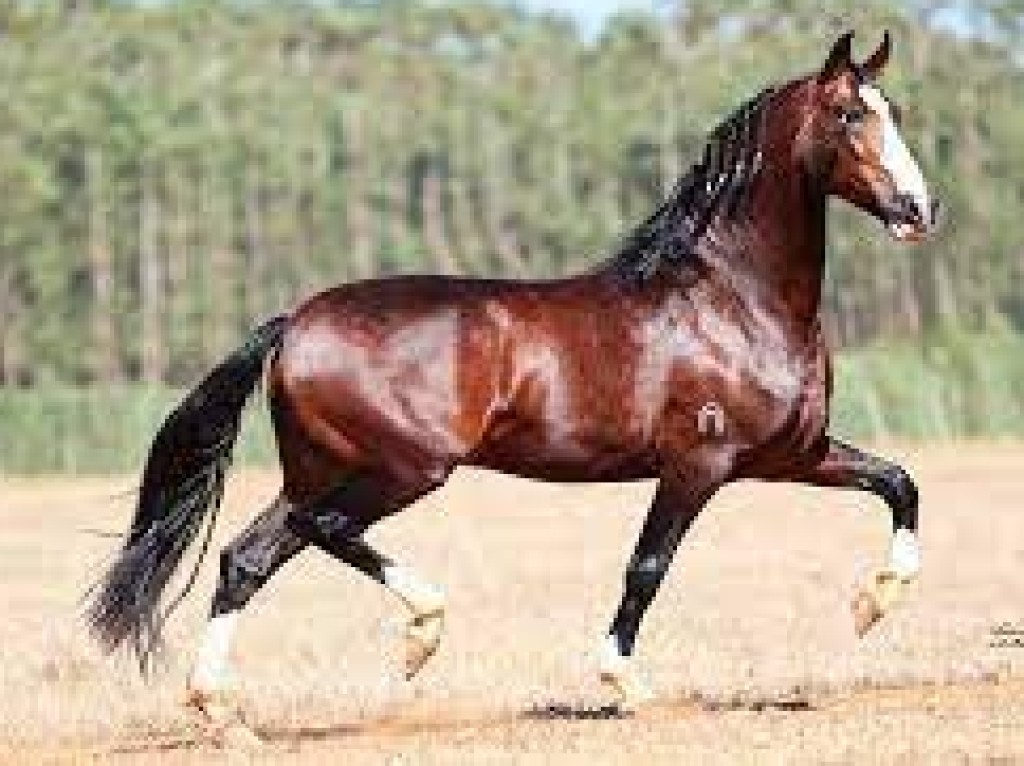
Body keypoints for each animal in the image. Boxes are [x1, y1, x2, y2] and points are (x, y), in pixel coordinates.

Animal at [87, 31, 939, 738]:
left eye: (893, 110)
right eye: (847, 114)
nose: (920, 209)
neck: (733, 298)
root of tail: (295, 321)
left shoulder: (792, 455)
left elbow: (900, 483)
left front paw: (871, 605)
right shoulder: (700, 464)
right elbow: (647, 568)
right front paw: (624, 685)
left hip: (319, 468)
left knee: (247, 559)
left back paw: (220, 708)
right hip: (406, 467)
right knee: (323, 530)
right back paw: (421, 633)